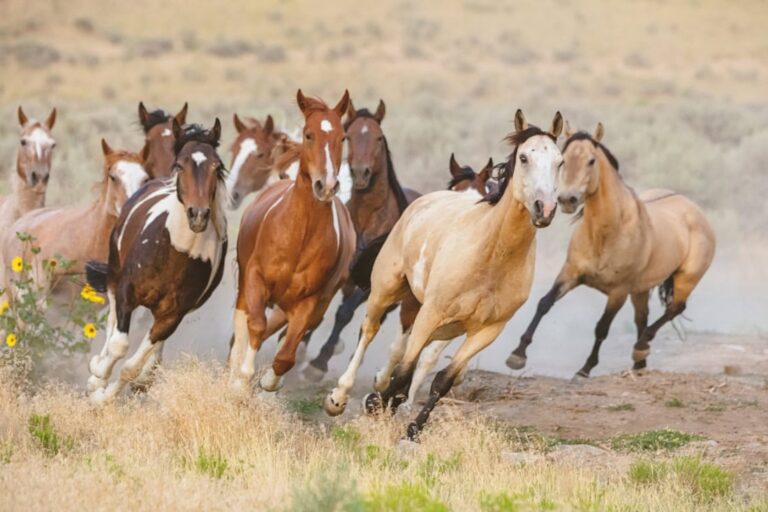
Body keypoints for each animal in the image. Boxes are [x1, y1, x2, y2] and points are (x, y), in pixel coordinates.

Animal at [85, 120, 228, 404]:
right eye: (180, 165)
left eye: (217, 167)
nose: (198, 215)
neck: (177, 252)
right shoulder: (127, 292)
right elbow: (119, 344)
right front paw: (97, 382)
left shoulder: (173, 315)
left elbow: (132, 367)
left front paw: (106, 398)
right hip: (114, 272)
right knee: (111, 323)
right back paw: (97, 368)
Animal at [228, 90, 356, 393]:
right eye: (309, 134)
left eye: (343, 137)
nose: (326, 186)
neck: (299, 235)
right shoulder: (255, 279)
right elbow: (255, 326)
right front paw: (241, 378)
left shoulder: (308, 303)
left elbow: (286, 355)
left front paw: (268, 380)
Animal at [301, 99, 420, 381]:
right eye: (350, 137)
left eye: (378, 137)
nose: (361, 173)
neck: (367, 219)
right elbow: (320, 309)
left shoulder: (368, 286)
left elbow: (344, 313)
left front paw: (318, 363)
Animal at [324, 110, 564, 441]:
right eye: (525, 157)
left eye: (560, 161)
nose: (545, 208)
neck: (491, 255)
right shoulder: (431, 312)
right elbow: (404, 370)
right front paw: (374, 404)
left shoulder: (487, 330)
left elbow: (442, 379)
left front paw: (412, 428)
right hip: (386, 289)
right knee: (369, 331)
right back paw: (339, 396)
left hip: (441, 323)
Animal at [506, 122, 716, 377]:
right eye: (565, 159)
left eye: (591, 161)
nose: (567, 200)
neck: (606, 234)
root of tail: (695, 210)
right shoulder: (571, 273)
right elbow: (544, 303)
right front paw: (517, 355)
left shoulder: (618, 291)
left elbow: (602, 328)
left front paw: (585, 369)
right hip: (640, 290)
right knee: (642, 318)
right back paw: (639, 363)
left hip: (686, 279)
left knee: (673, 309)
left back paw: (641, 347)